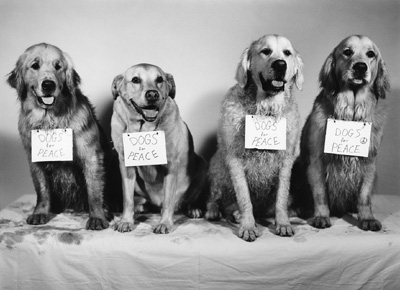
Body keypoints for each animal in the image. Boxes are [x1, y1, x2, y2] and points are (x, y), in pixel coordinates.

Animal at [111, 63, 208, 233]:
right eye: (135, 80)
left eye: (159, 79)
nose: (152, 95)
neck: (144, 129)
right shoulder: (125, 164)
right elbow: (127, 199)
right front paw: (126, 220)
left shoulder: (171, 165)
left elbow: (168, 199)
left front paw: (165, 223)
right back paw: (141, 206)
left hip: (202, 166)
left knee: (186, 200)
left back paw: (193, 208)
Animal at [206, 34, 304, 242]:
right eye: (265, 51)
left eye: (287, 53)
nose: (280, 64)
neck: (265, 109)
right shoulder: (234, 159)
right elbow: (245, 198)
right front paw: (248, 226)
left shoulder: (286, 160)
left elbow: (281, 198)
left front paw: (283, 223)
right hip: (217, 167)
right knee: (214, 196)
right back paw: (215, 211)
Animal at [290, 35, 390, 231]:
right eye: (347, 52)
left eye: (371, 54)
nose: (360, 67)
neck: (350, 114)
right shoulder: (316, 161)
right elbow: (320, 194)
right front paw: (321, 216)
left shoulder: (369, 163)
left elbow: (365, 196)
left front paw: (367, 218)